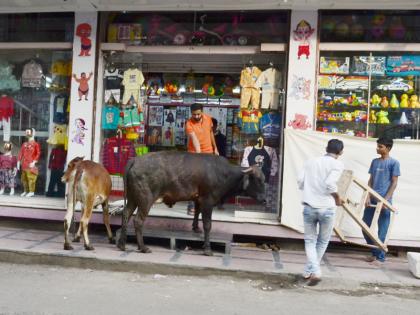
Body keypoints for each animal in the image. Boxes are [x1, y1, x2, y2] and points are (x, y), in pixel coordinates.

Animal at [116, 152, 264, 256]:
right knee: (138, 220)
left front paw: (196, 228)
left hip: (133, 198)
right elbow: (208, 225)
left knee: (126, 214)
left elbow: (197, 213)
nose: (264, 199)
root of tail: (135, 160)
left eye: (264, 179)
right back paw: (143, 247)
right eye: (257, 180)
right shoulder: (208, 200)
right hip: (145, 199)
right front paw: (207, 249)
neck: (224, 174)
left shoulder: (199, 199)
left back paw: (122, 244)